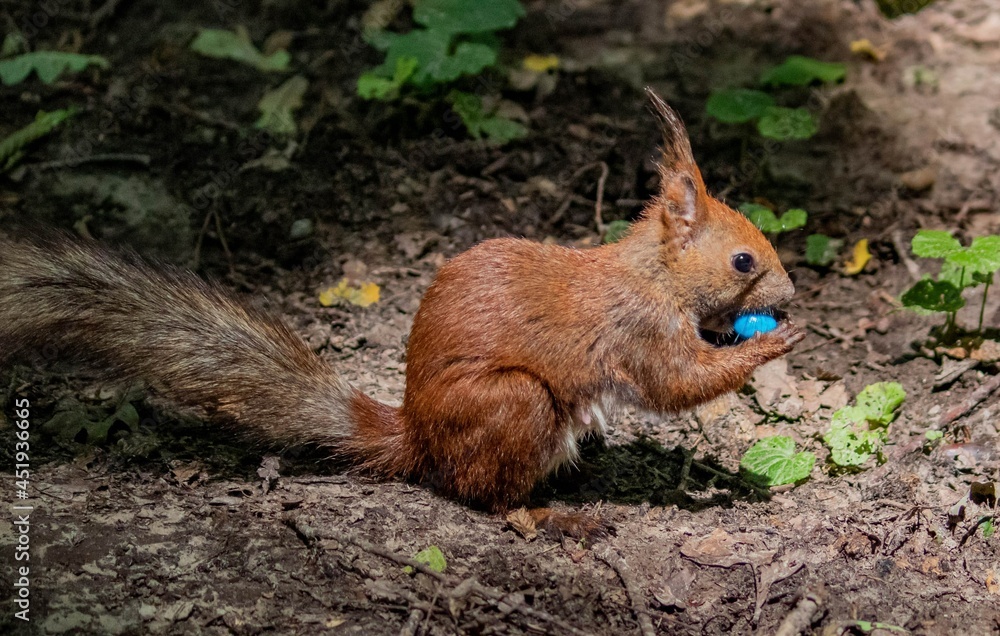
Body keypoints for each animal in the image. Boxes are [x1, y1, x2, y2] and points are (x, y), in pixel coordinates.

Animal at [0, 91, 802, 515]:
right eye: (743, 260)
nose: (791, 296)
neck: (653, 274)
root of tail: (414, 437)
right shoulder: (638, 328)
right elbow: (678, 382)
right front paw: (772, 343)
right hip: (512, 404)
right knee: (486, 496)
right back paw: (548, 517)